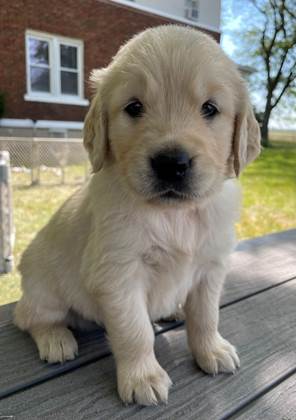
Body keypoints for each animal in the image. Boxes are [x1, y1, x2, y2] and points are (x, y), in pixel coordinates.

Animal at [13, 24, 260, 406]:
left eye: (210, 108)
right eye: (134, 107)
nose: (172, 163)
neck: (174, 215)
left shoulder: (211, 266)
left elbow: (206, 316)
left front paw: (212, 350)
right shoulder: (118, 273)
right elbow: (135, 330)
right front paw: (143, 377)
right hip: (44, 289)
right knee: (27, 317)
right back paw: (55, 338)